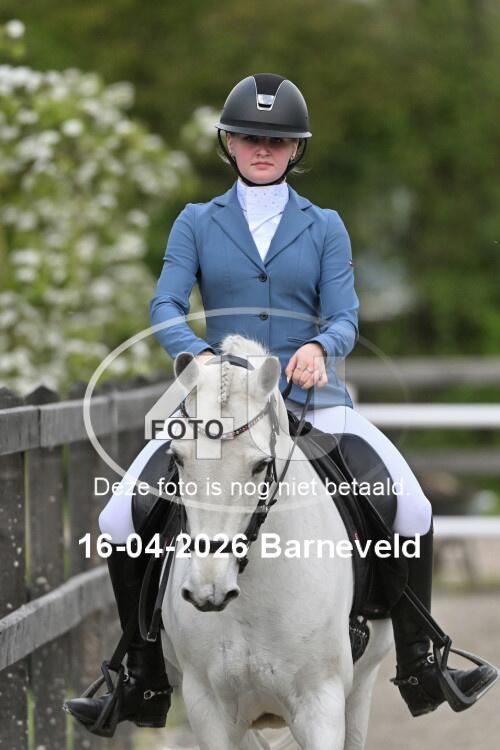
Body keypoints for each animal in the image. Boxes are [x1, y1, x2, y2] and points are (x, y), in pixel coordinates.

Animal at [160, 334, 393, 750]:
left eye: (259, 465)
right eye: (179, 458)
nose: (208, 588)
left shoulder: (322, 704)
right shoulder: (207, 708)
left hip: (361, 688)